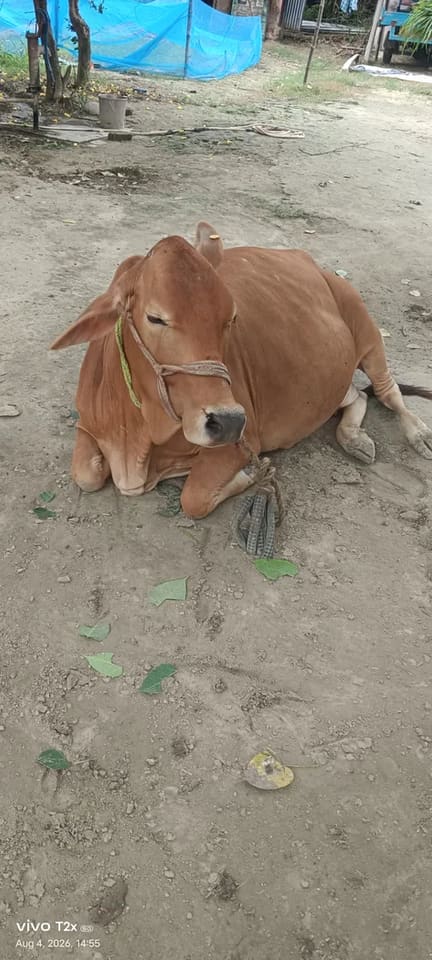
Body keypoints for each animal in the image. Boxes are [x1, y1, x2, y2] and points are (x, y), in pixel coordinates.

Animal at [51, 222, 432, 520]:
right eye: (155, 318)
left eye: (230, 319)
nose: (227, 421)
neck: (141, 429)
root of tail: (308, 261)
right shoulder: (87, 425)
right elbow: (85, 474)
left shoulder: (240, 445)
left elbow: (194, 497)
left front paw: (250, 475)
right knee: (355, 396)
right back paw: (354, 437)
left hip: (367, 332)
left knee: (387, 391)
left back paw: (419, 435)